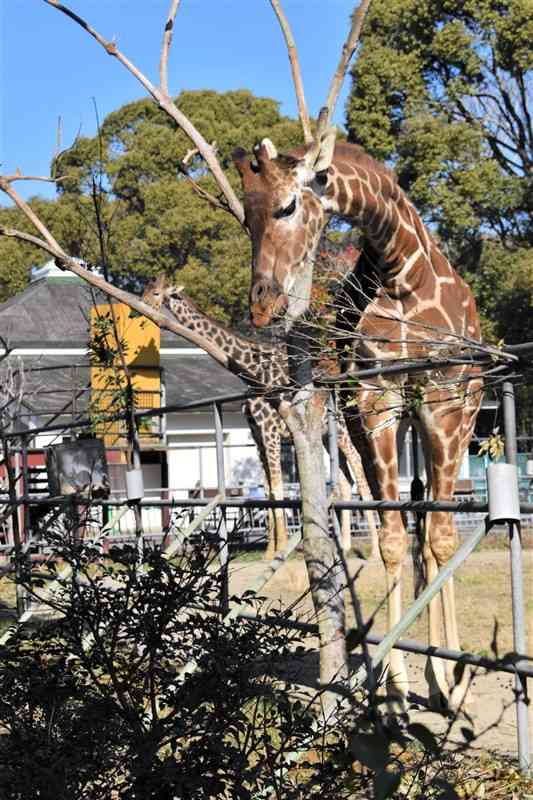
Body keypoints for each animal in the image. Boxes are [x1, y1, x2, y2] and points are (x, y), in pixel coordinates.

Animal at [233, 133, 482, 712]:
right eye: (246, 219)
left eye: (287, 206)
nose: (263, 305)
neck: (400, 267)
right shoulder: (374, 402)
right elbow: (392, 538)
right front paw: (396, 687)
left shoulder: (443, 400)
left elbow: (441, 536)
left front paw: (450, 681)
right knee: (415, 517)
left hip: (459, 412)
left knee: (434, 526)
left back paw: (449, 677)